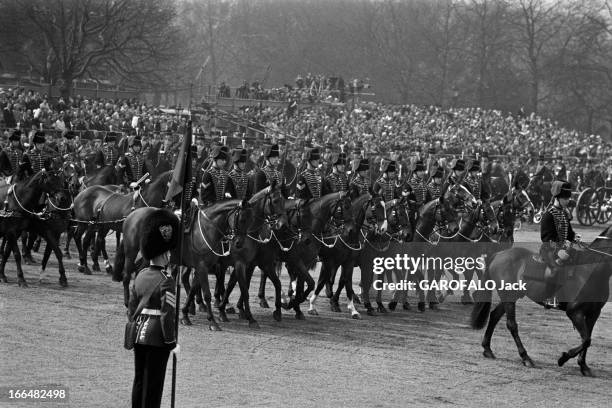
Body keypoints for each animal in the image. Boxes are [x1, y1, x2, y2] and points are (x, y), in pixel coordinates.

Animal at [474, 226, 612, 376]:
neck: (592, 270)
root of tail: (499, 254)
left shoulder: (594, 313)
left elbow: (587, 338)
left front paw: (584, 366)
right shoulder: (575, 313)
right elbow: (586, 339)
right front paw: (563, 358)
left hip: (511, 296)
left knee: (495, 316)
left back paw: (487, 349)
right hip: (508, 296)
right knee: (511, 324)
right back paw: (526, 358)